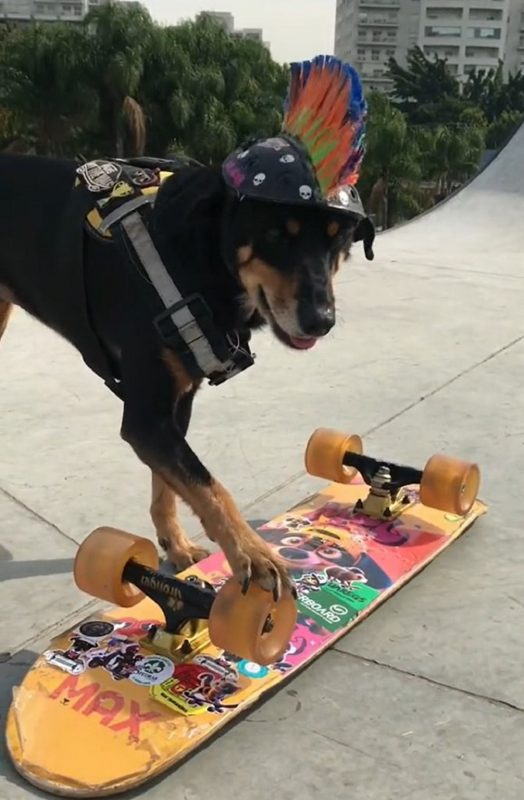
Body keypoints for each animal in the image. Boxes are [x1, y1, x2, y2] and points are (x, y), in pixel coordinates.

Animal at [1, 56, 376, 600]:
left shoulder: (176, 405)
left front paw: (176, 546)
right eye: (275, 235)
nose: (321, 321)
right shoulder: (145, 417)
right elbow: (209, 484)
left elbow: (171, 484)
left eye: (340, 239)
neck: (199, 259)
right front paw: (253, 554)